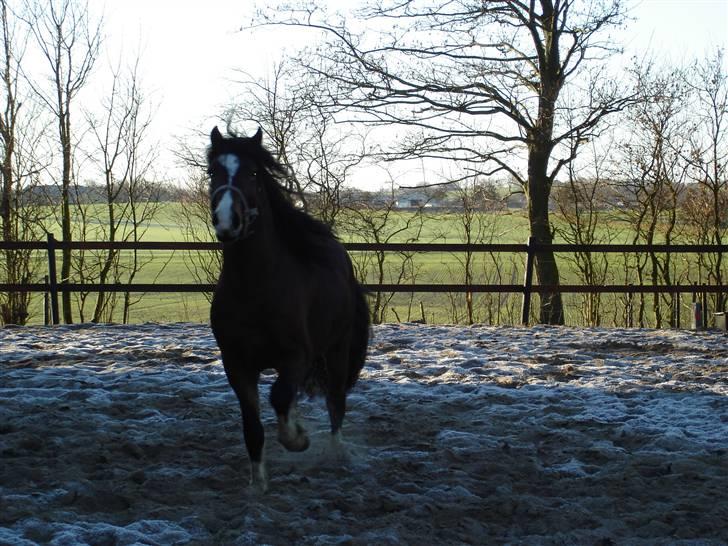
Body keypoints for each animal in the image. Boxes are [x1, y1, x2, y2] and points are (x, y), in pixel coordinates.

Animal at [206, 126, 370, 488]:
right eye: (213, 172)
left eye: (253, 173)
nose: (227, 221)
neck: (255, 287)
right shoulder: (236, 365)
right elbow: (253, 427)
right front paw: (258, 485)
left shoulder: (296, 357)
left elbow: (280, 397)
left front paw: (297, 439)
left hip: (336, 351)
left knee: (336, 402)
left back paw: (336, 454)